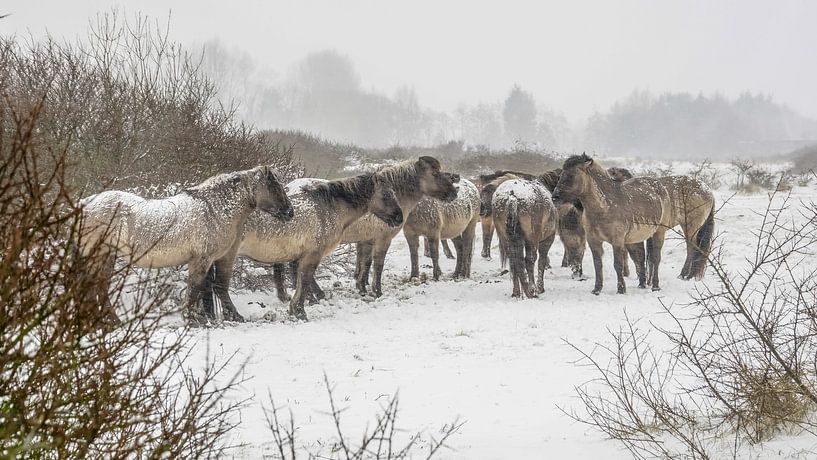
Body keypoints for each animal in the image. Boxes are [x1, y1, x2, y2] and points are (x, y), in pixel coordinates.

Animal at [79, 166, 293, 325]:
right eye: (274, 186)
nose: (290, 212)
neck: (214, 209)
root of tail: (87, 203)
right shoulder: (201, 260)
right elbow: (195, 289)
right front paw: (191, 320)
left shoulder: (207, 261)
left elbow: (203, 288)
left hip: (106, 256)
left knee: (100, 289)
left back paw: (112, 322)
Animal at [237, 171, 403, 320]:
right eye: (387, 195)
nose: (399, 218)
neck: (328, 209)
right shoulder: (313, 254)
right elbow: (304, 279)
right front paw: (299, 311)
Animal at [552, 153, 674, 294]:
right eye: (561, 175)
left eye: (572, 175)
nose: (554, 197)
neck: (604, 207)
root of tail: (660, 186)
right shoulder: (593, 240)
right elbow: (598, 264)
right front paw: (597, 289)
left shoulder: (617, 241)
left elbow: (618, 265)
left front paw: (621, 289)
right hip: (633, 239)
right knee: (639, 259)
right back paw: (641, 285)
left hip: (659, 232)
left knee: (655, 258)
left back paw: (655, 286)